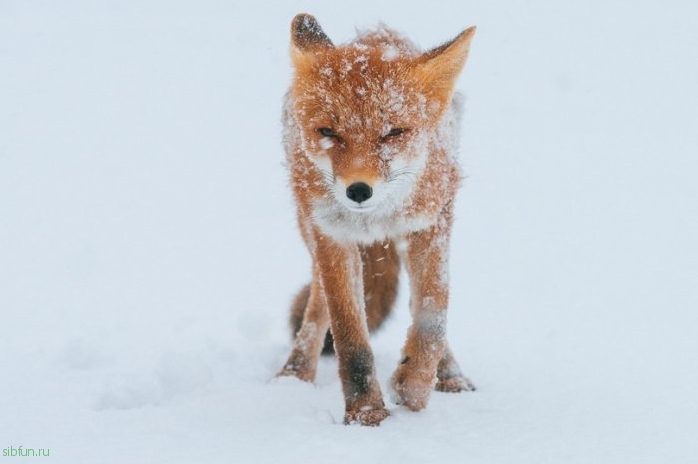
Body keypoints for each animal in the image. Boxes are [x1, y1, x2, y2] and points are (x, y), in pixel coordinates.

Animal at [278, 13, 478, 428]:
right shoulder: (333, 236)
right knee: (316, 305)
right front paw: (366, 414)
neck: (378, 219)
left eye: (393, 133)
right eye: (328, 132)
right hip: (311, 230)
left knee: (421, 306)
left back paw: (450, 375)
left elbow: (432, 319)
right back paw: (294, 373)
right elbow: (351, 340)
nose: (358, 191)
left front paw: (413, 386)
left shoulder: (430, 225)